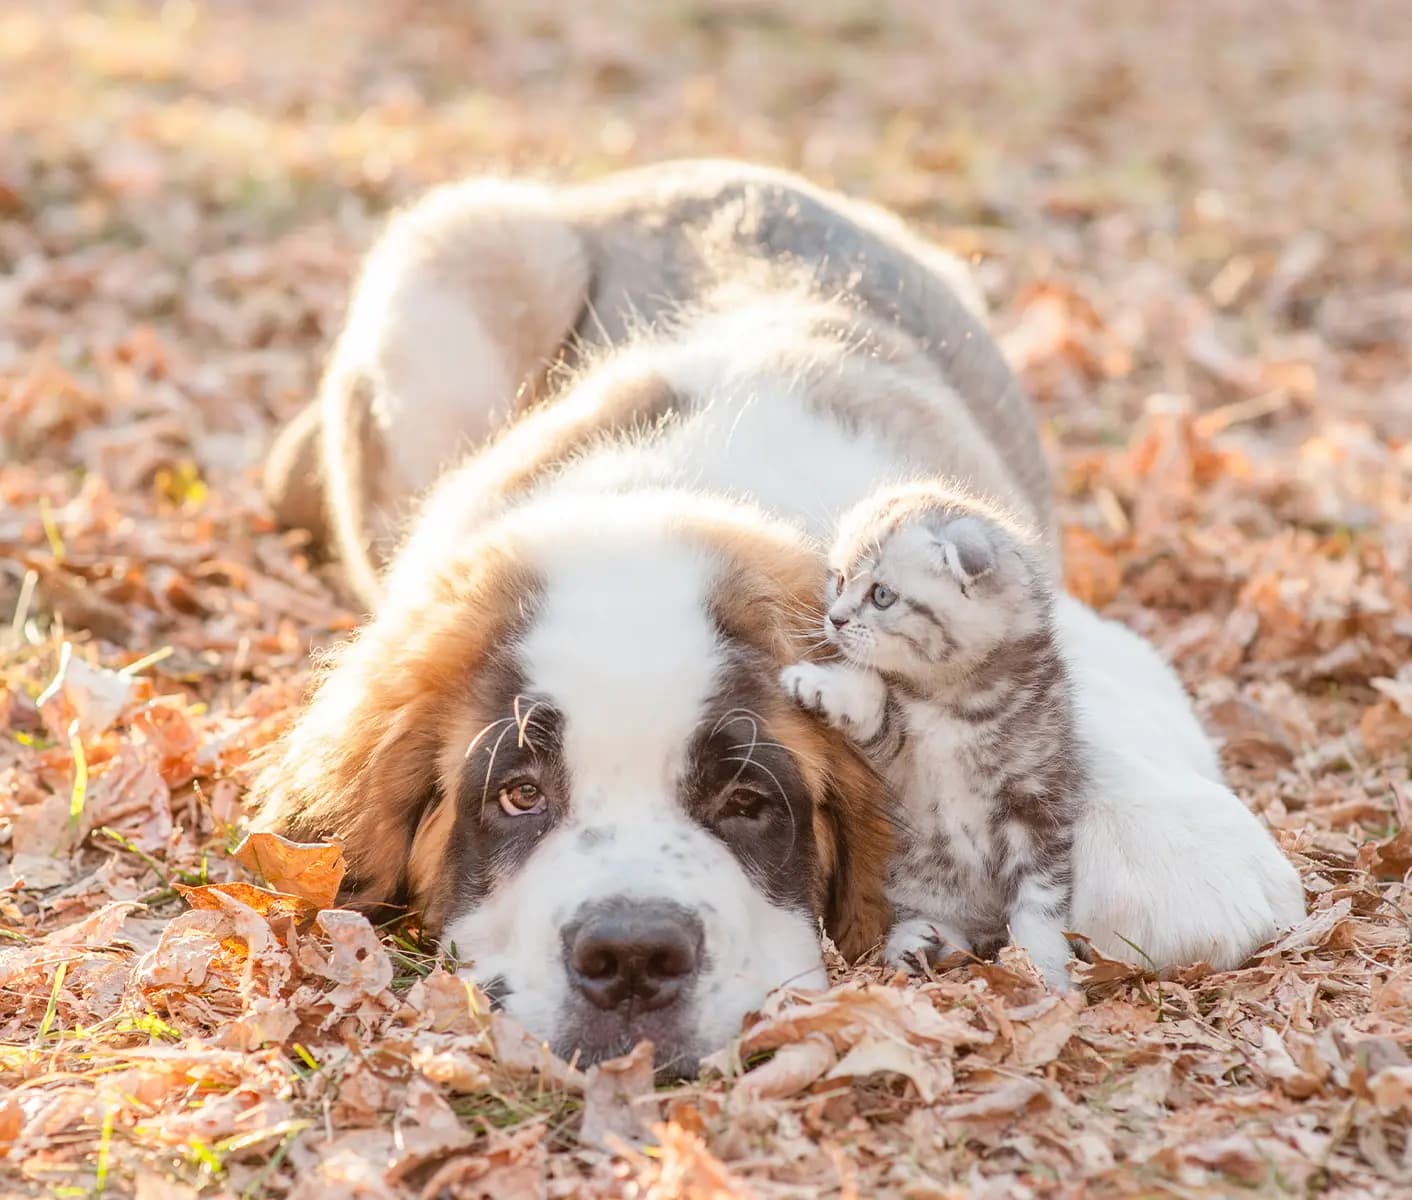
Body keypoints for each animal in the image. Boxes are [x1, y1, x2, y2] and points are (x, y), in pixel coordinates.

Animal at [785, 482, 1078, 988]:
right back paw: (921, 942)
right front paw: (818, 684)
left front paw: (1046, 969)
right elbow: (874, 700)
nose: (834, 619)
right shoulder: (895, 762)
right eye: (838, 581)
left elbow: (1039, 902)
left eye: (882, 595)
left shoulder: (1038, 801)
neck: (952, 703)